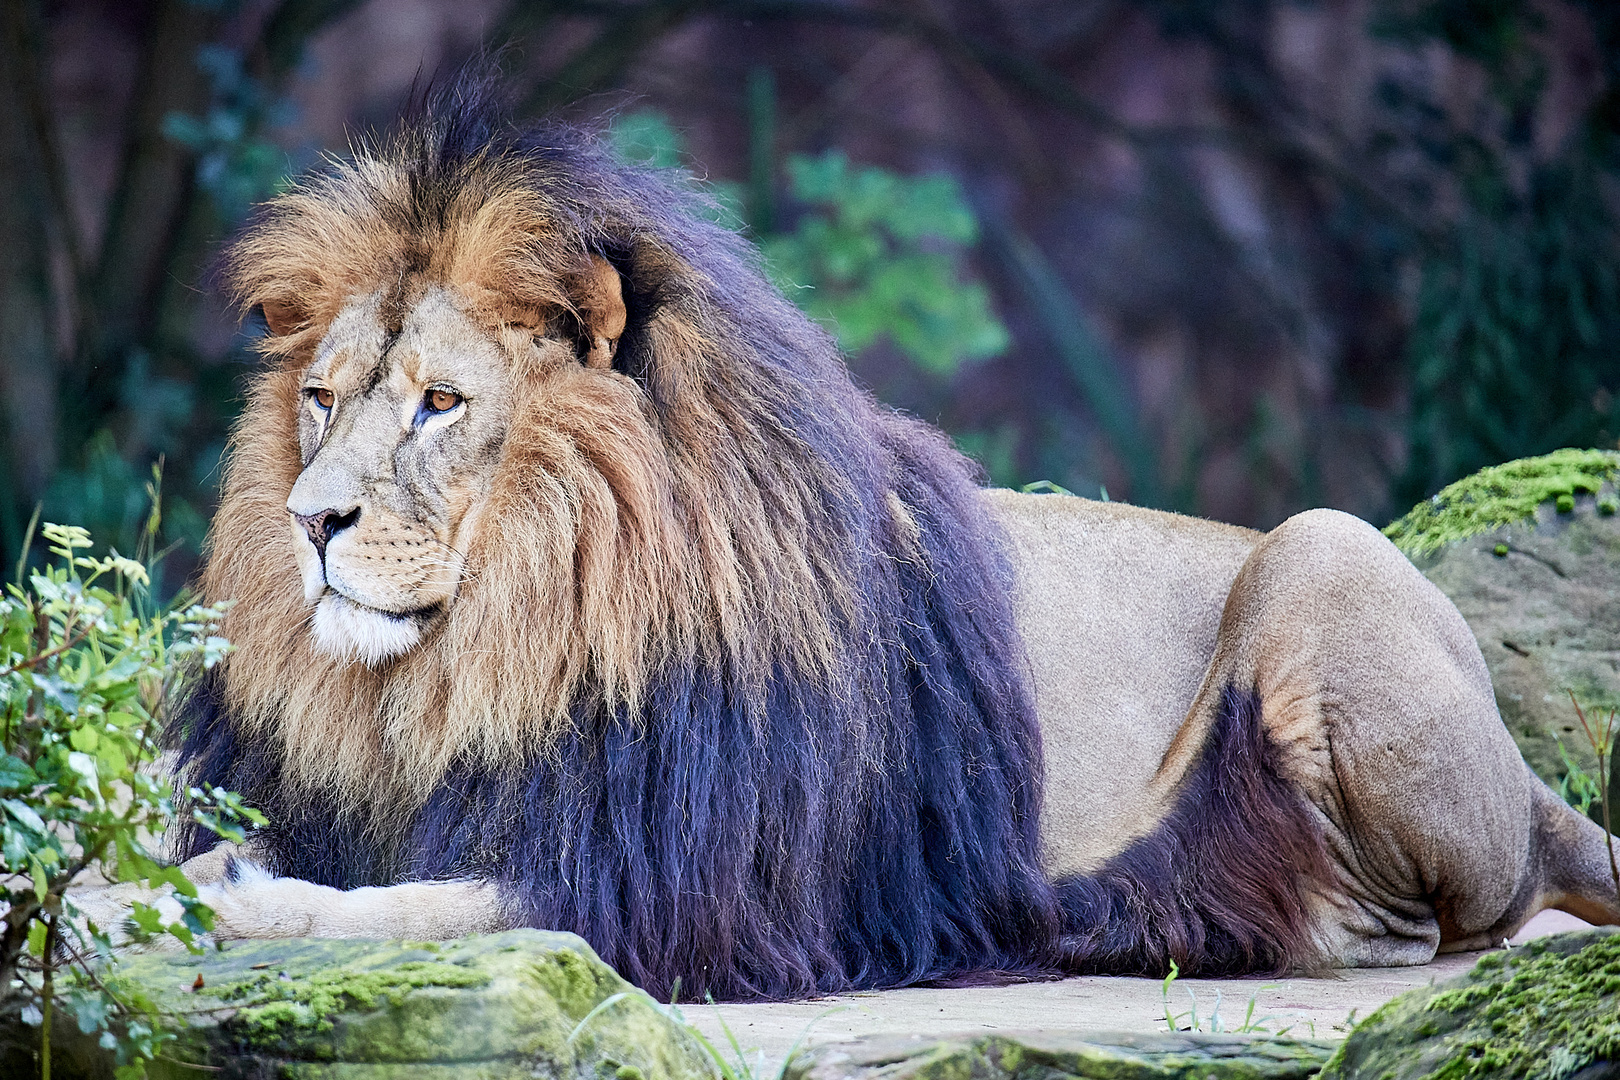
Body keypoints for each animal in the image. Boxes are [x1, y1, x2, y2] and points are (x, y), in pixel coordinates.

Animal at [117, 84, 1620, 1003]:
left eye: (439, 403)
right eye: (323, 399)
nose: (311, 521)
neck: (474, 661)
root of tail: (1526, 779)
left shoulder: (670, 901)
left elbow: (391, 909)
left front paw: (204, 898)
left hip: (1326, 549)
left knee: (1423, 923)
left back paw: (1140, 915)